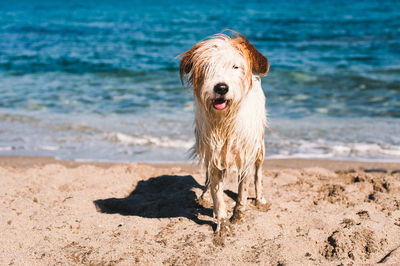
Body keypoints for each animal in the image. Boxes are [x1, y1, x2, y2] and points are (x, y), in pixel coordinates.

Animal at [180, 30, 268, 231]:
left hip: (259, 146)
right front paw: (222, 221)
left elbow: (243, 187)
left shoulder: (246, 151)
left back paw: (260, 199)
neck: (225, 120)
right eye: (207, 66)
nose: (221, 87)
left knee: (258, 173)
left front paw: (239, 214)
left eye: (236, 67)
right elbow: (216, 190)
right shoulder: (212, 150)